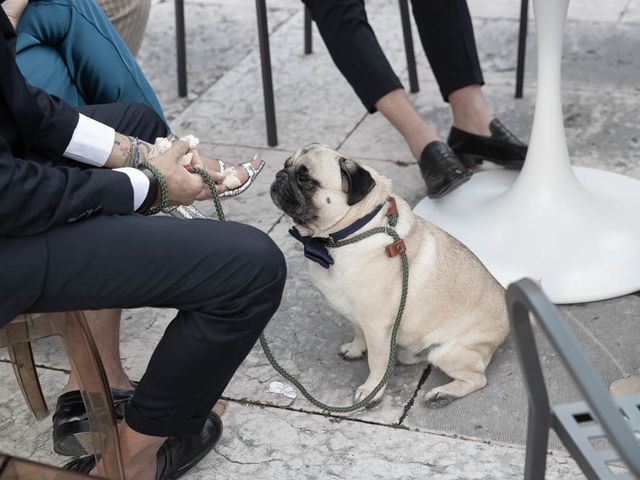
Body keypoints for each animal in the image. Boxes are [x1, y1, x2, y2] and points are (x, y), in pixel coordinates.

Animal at [270, 144, 510, 406]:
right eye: (285, 164)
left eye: (304, 179)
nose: (279, 175)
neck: (340, 238)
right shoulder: (355, 314)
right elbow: (358, 332)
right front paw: (355, 349)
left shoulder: (376, 325)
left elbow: (376, 361)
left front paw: (372, 391)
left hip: (448, 351)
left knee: (478, 379)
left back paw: (442, 394)